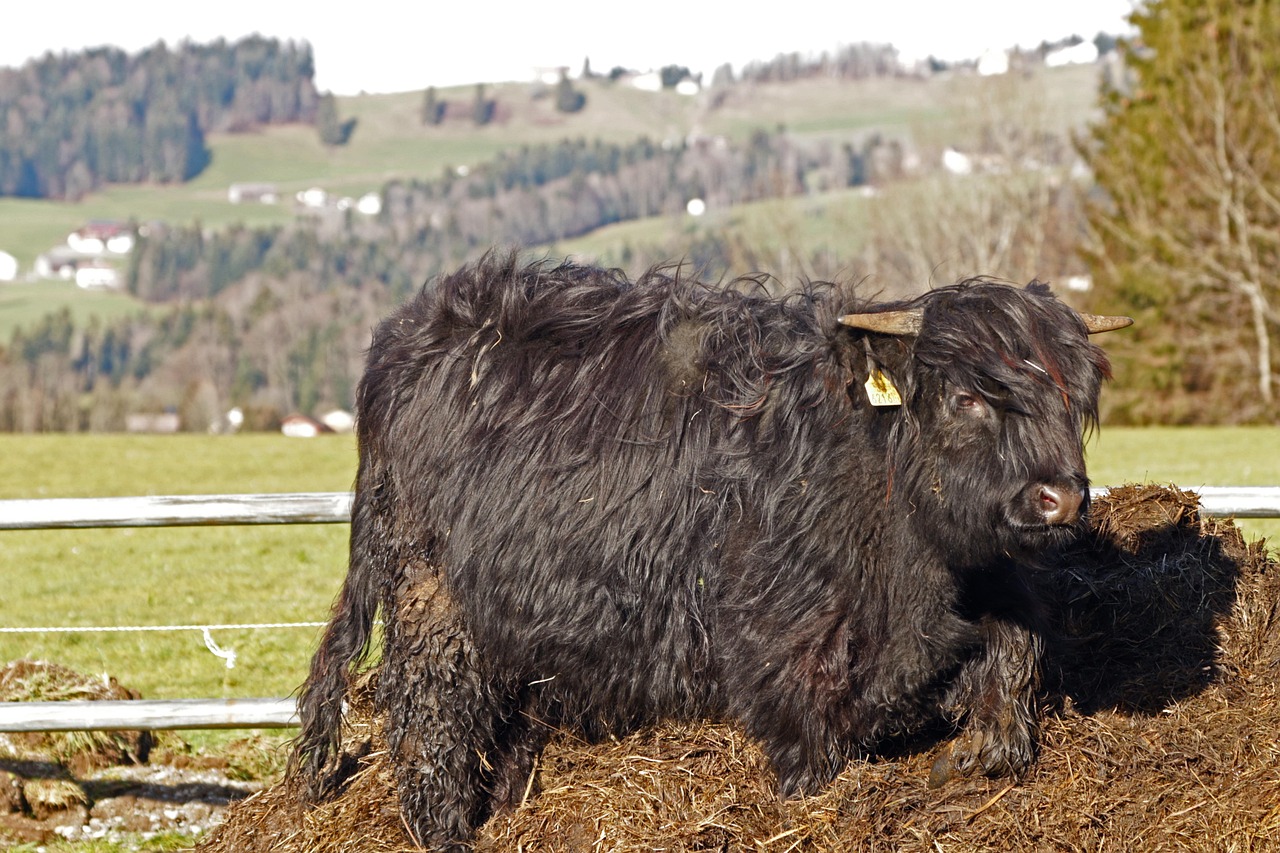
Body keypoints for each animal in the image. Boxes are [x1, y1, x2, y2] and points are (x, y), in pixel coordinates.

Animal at [290, 251, 1131, 845]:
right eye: (967, 398)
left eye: (1071, 400)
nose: (1060, 497)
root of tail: (418, 329)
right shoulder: (788, 656)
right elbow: (812, 765)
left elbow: (1012, 677)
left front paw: (972, 759)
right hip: (432, 593)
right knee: (429, 715)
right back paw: (445, 831)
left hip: (519, 620)